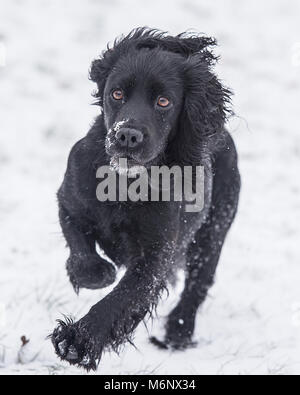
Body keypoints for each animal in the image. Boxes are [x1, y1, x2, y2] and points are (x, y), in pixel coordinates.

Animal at [50, 27, 240, 372]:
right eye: (116, 94)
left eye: (164, 101)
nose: (127, 135)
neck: (124, 184)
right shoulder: (70, 199)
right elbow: (81, 250)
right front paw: (98, 273)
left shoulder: (156, 258)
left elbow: (122, 298)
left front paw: (77, 341)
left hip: (213, 231)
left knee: (198, 284)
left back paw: (178, 332)